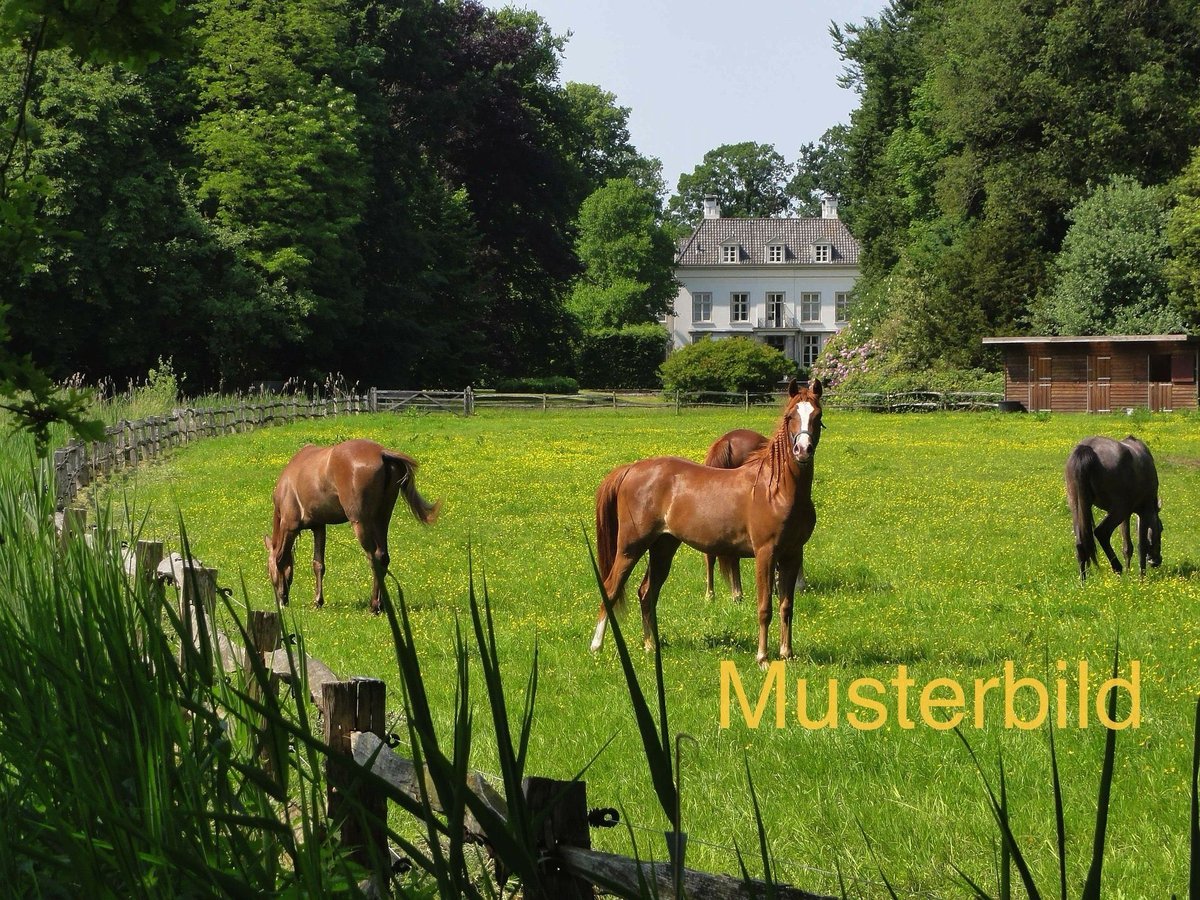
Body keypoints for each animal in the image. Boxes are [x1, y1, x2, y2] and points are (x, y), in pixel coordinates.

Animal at [265, 441, 444, 619]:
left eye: (268, 569)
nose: (280, 600)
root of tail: (381, 453)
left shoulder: (290, 526)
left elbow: (281, 559)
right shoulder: (319, 527)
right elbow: (318, 564)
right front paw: (317, 602)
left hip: (361, 522)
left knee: (375, 557)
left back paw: (374, 607)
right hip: (382, 518)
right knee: (383, 557)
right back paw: (382, 605)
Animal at [592, 376, 820, 667]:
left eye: (817, 415)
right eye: (791, 416)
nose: (803, 450)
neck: (776, 490)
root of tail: (630, 469)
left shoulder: (792, 554)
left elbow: (786, 606)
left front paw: (787, 655)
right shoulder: (765, 554)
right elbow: (765, 607)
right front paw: (762, 659)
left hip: (663, 547)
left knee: (646, 593)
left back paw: (650, 646)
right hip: (630, 547)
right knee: (611, 589)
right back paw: (596, 646)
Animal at [1070, 436, 1161, 585]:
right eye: (1161, 528)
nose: (1156, 561)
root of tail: (1086, 449)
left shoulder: (1126, 516)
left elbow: (1127, 547)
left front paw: (1130, 574)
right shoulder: (1144, 511)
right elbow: (1141, 545)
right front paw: (1142, 578)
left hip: (1077, 508)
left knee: (1080, 544)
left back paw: (1083, 581)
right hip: (1118, 510)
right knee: (1101, 532)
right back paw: (1117, 568)